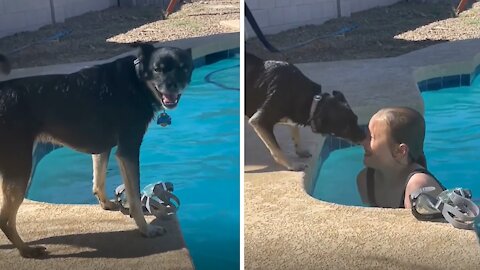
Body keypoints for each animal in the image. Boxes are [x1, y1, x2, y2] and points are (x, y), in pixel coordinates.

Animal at [0, 44, 193, 258]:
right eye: (157, 69)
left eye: (184, 68)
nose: (173, 86)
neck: (137, 80)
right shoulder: (128, 149)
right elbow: (134, 197)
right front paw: (146, 229)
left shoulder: (103, 149)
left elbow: (98, 180)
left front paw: (106, 204)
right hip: (19, 167)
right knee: (5, 219)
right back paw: (26, 250)